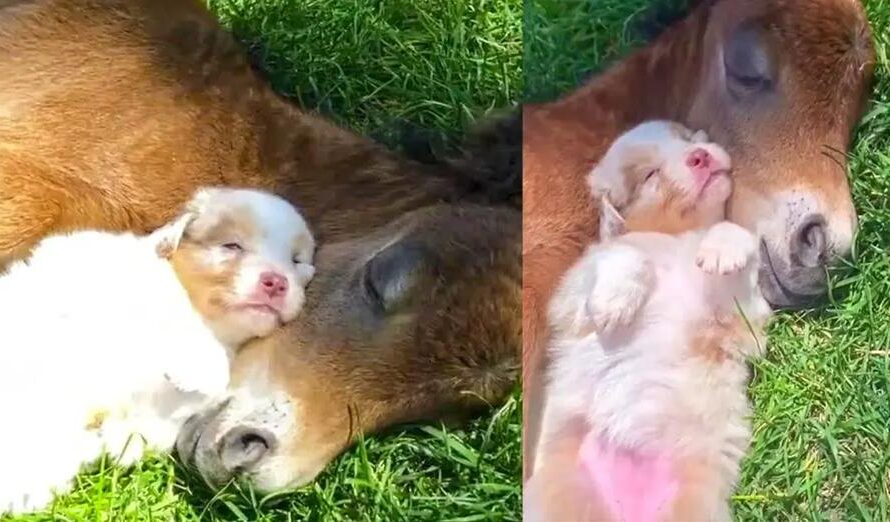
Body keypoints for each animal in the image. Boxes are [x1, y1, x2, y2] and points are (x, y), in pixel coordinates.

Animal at [0, 186, 316, 512]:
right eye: (232, 245)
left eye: (296, 260)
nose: (276, 282)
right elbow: (169, 306)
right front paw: (203, 366)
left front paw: (123, 440)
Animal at [528, 120, 772, 516]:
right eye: (650, 175)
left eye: (689, 139)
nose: (699, 156)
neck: (674, 236)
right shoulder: (573, 291)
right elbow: (625, 255)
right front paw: (616, 301)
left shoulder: (743, 318)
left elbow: (732, 236)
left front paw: (722, 248)